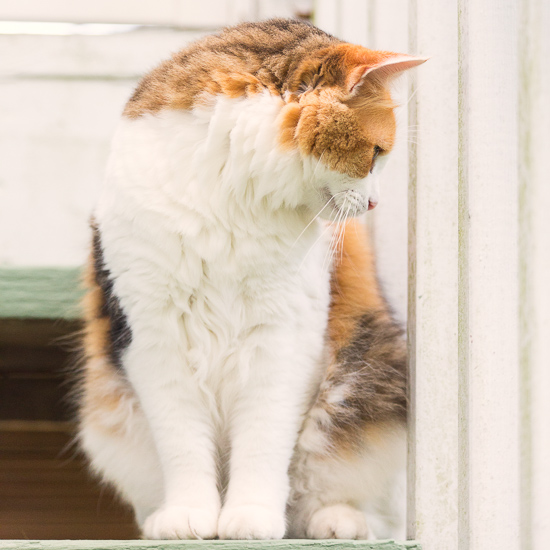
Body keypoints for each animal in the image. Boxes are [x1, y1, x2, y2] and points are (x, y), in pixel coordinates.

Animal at [76, 19, 426, 540]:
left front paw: (251, 515)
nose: (374, 203)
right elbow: (182, 443)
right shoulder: (153, 340)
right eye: (377, 153)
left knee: (335, 491)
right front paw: (189, 516)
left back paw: (337, 521)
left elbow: (263, 442)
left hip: (366, 380)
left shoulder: (284, 340)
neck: (231, 204)